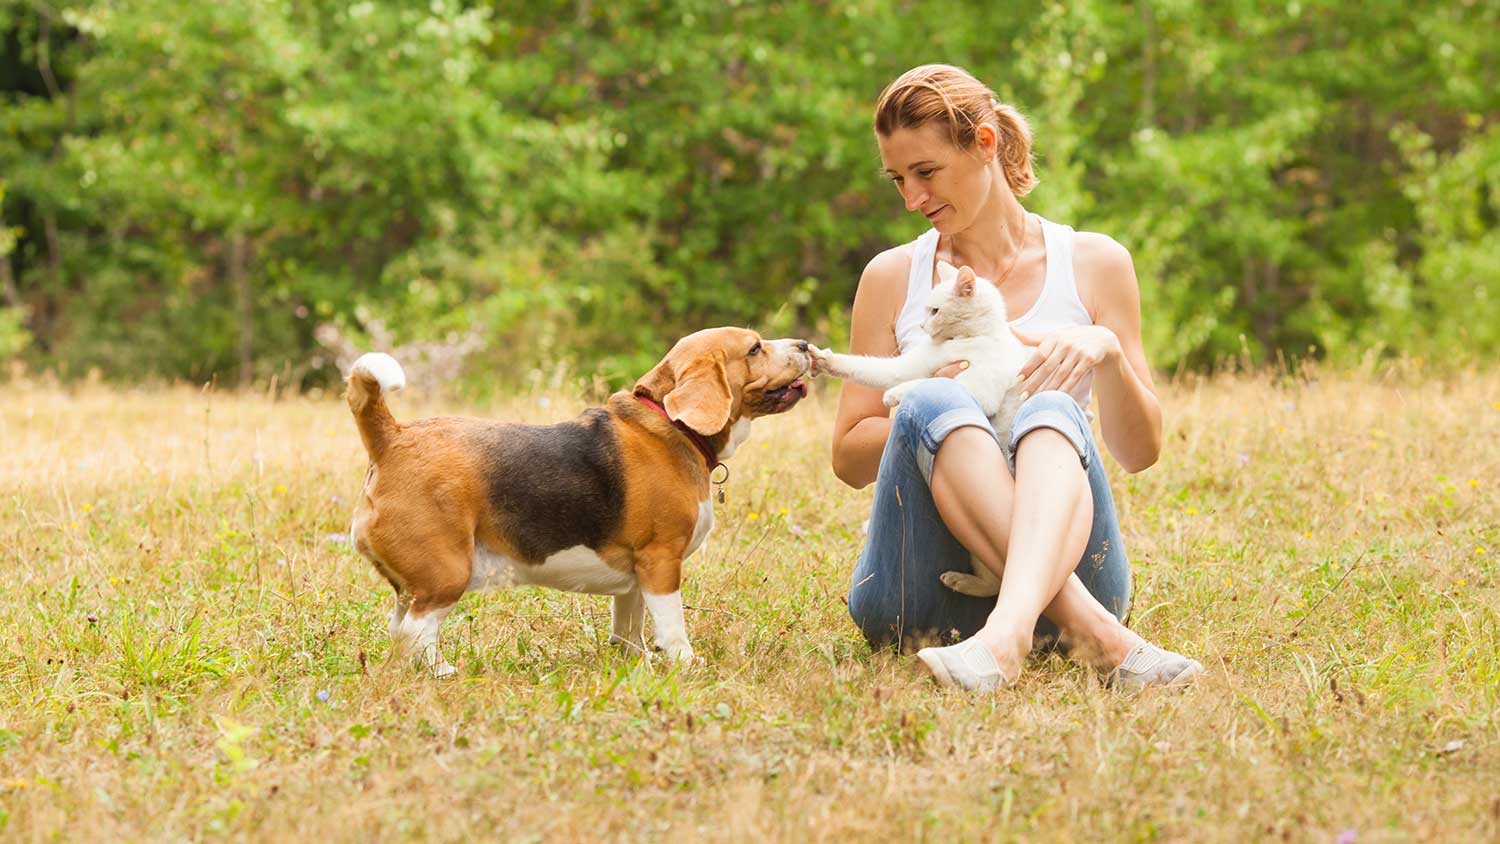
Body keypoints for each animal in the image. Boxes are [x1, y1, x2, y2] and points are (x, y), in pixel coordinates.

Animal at [345, 326, 816, 677]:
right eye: (754, 348)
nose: (805, 345)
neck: (670, 425)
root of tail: (392, 437)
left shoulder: (636, 574)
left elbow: (629, 626)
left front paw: (635, 662)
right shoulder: (661, 561)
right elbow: (671, 625)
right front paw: (685, 664)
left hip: (416, 583)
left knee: (399, 631)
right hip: (446, 574)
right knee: (415, 632)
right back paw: (443, 672)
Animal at [810, 263, 1032, 599]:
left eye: (935, 310)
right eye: (926, 309)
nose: (923, 327)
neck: (968, 337)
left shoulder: (980, 387)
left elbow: (935, 381)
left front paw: (897, 394)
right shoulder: (912, 364)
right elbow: (872, 369)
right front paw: (824, 359)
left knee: (998, 580)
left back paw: (961, 582)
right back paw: (960, 581)